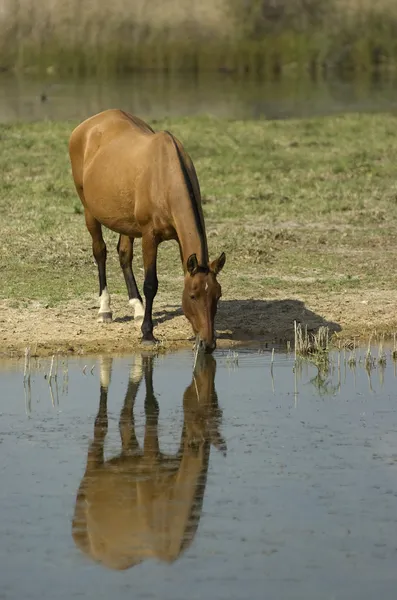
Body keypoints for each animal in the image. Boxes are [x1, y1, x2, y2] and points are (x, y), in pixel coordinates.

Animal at [69, 109, 224, 352]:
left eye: (217, 296)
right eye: (193, 295)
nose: (208, 344)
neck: (165, 175)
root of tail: (88, 125)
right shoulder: (149, 237)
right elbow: (151, 284)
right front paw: (147, 333)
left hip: (126, 221)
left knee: (124, 255)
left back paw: (138, 308)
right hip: (89, 211)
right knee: (100, 251)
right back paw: (105, 309)